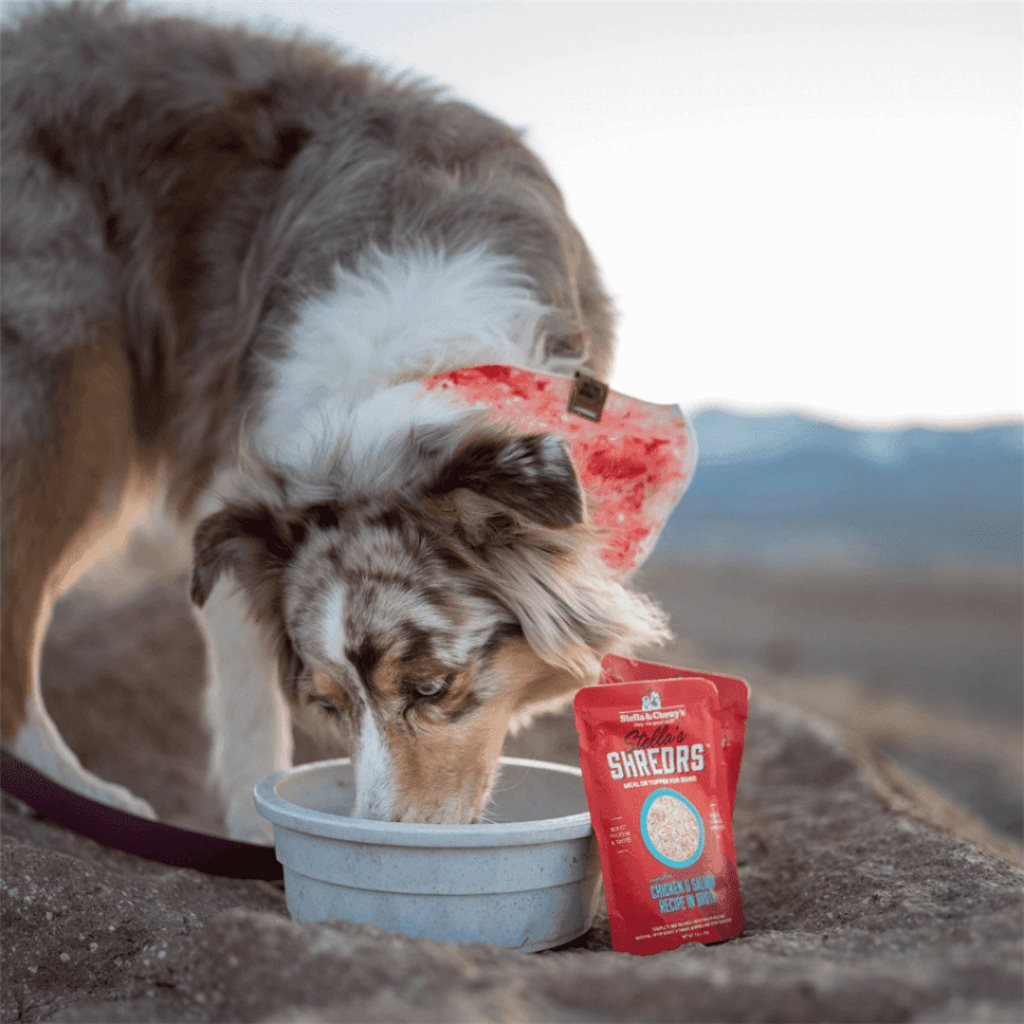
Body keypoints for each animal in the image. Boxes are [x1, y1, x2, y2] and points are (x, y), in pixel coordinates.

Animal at [0, 0, 667, 839]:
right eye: (328, 700)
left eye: (431, 687)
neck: (417, 362)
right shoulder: (229, 489)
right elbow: (251, 714)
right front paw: (260, 838)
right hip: (70, 388)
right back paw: (80, 794)